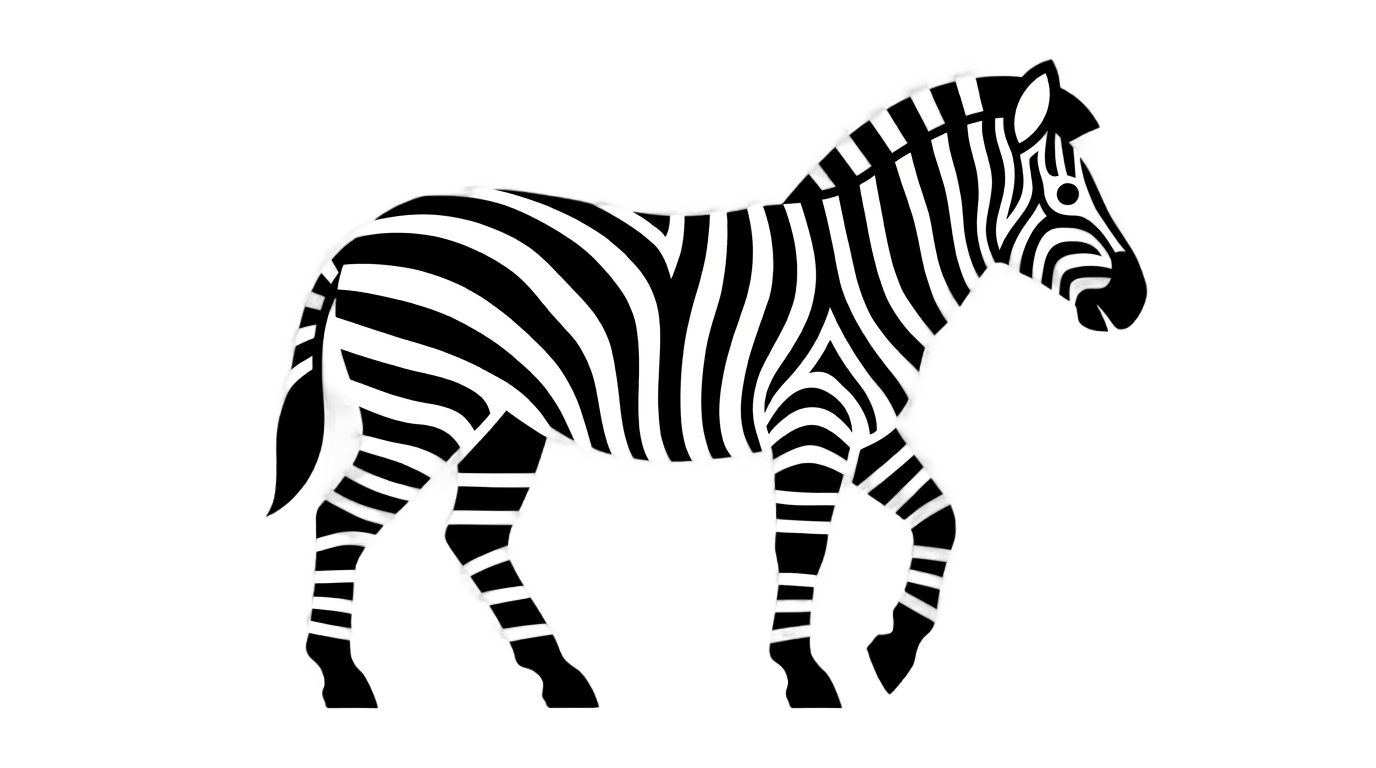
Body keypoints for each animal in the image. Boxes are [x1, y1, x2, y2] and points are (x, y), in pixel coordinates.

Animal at [258, 59, 1147, 722]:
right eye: (1069, 193)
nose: (1135, 297)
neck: (864, 274)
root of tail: (366, 235)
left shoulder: (863, 425)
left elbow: (939, 515)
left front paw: (891, 650)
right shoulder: (813, 422)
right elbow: (802, 546)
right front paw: (806, 681)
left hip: (504, 418)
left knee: (471, 529)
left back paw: (565, 683)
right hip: (421, 407)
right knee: (343, 515)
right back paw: (342, 681)